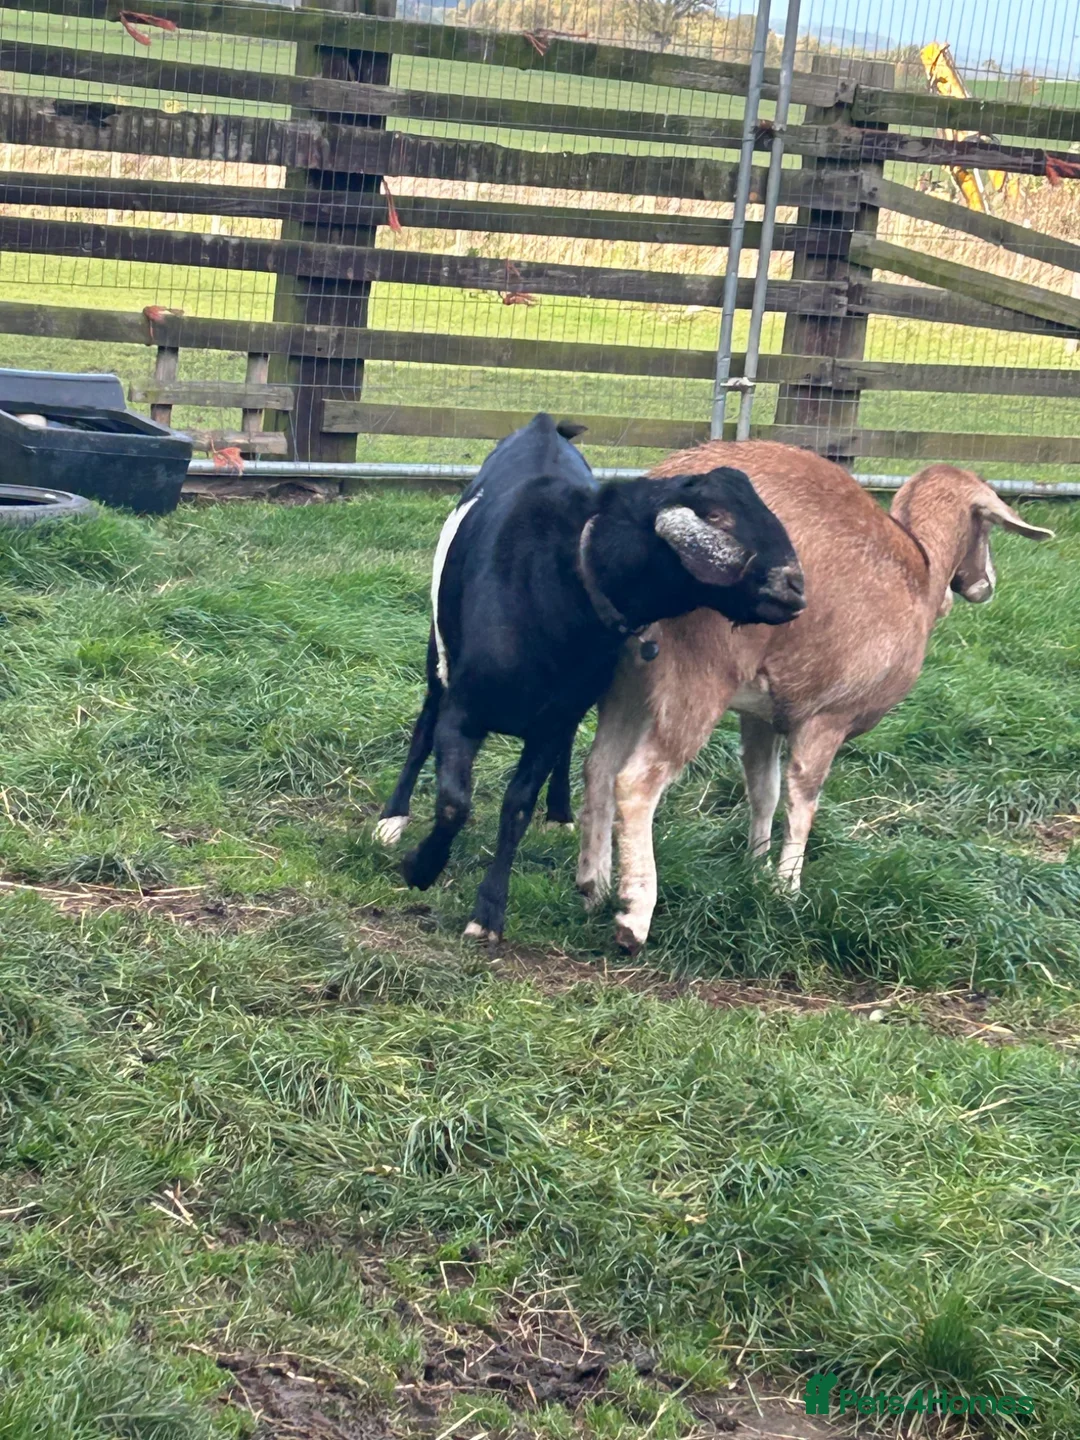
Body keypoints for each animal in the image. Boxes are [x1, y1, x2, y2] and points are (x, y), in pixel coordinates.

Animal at [377, 415, 806, 941]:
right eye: (717, 515)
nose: (795, 586)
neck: (554, 588)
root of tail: (543, 425)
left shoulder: (554, 718)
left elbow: (517, 808)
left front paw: (489, 910)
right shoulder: (464, 710)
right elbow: (455, 802)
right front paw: (421, 867)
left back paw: (560, 812)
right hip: (437, 658)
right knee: (423, 725)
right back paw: (392, 817)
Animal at [575, 441, 1053, 954]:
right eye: (985, 527)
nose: (987, 585)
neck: (921, 574)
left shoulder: (761, 714)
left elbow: (763, 790)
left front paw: (755, 870)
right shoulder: (829, 717)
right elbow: (803, 801)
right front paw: (787, 889)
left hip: (626, 674)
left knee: (598, 768)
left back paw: (593, 886)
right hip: (695, 675)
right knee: (637, 781)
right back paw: (633, 915)